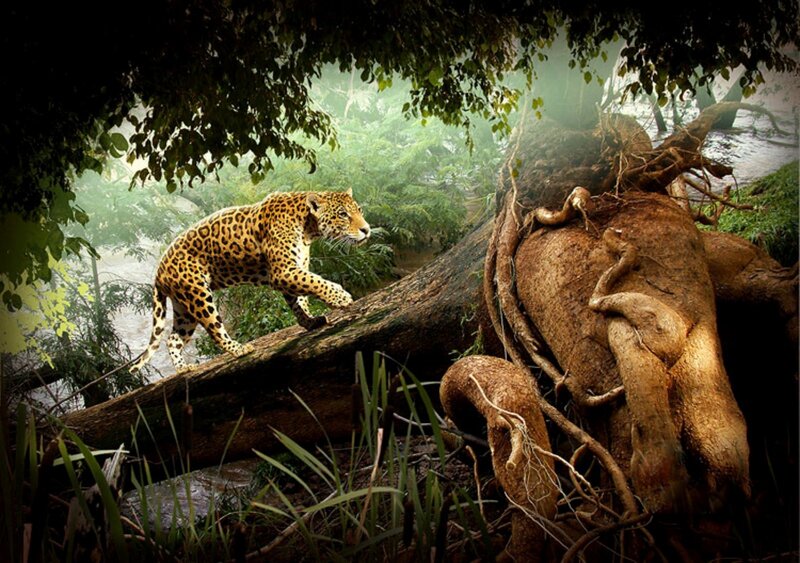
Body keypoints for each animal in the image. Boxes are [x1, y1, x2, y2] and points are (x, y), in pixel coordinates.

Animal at [130, 189, 370, 374]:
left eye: (359, 211)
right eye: (343, 214)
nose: (366, 229)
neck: (308, 228)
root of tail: (158, 271)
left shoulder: (293, 269)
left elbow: (299, 300)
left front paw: (310, 322)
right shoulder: (284, 271)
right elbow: (315, 282)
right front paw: (340, 298)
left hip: (184, 308)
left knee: (173, 339)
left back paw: (182, 368)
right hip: (198, 295)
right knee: (215, 329)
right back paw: (239, 349)